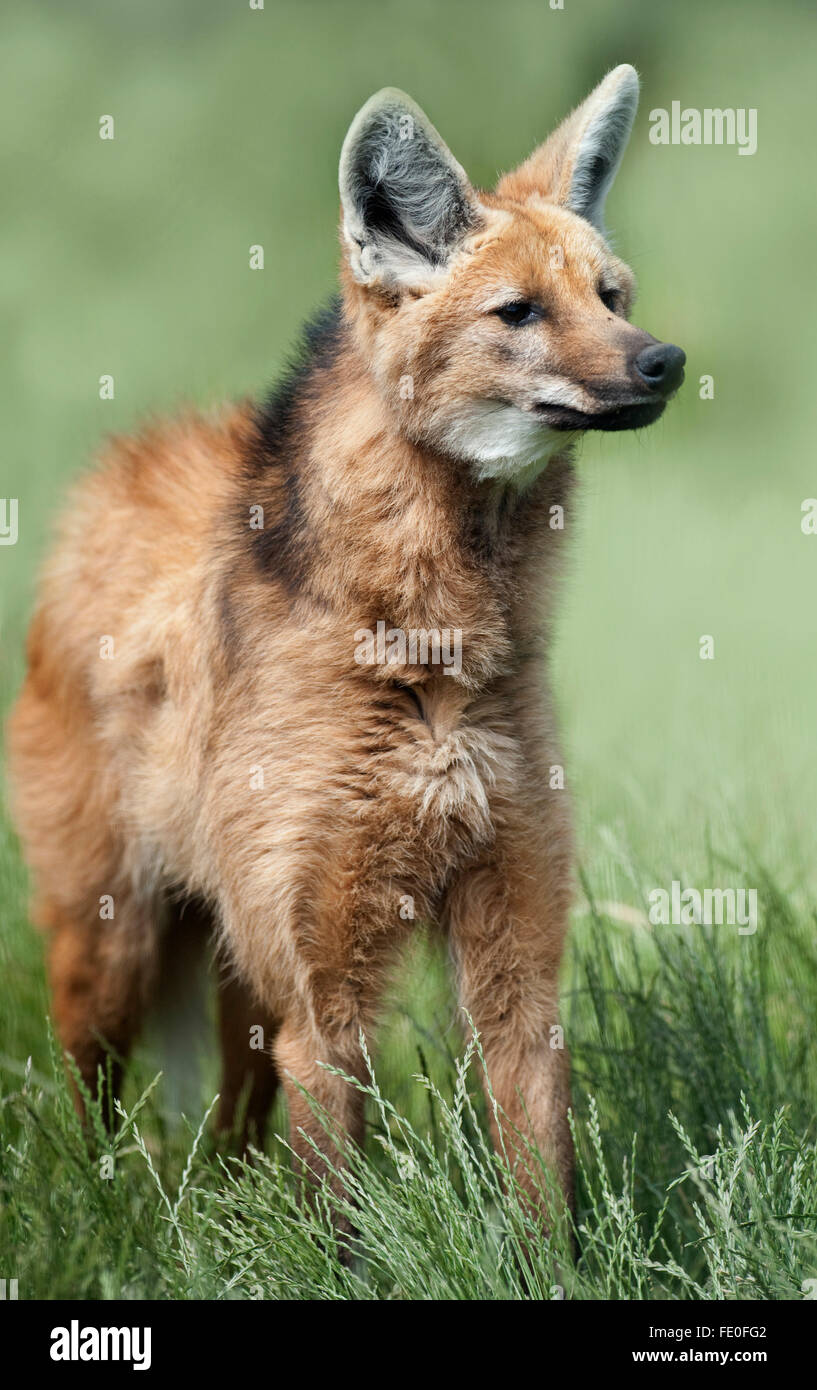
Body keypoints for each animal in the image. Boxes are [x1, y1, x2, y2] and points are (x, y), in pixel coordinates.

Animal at [7, 70, 683, 1228]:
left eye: (612, 297)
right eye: (519, 311)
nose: (666, 362)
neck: (434, 652)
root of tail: (117, 467)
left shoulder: (514, 953)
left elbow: (538, 1184)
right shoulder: (327, 990)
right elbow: (341, 1222)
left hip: (236, 947)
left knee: (237, 1107)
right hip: (116, 937)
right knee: (88, 1091)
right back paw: (96, 1216)